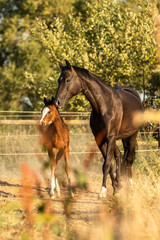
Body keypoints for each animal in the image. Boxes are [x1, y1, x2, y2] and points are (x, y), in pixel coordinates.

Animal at [54, 59, 142, 197]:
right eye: (59, 80)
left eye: (68, 80)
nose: (57, 102)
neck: (104, 104)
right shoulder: (100, 139)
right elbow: (108, 164)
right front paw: (115, 187)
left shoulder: (110, 137)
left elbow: (107, 164)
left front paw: (103, 191)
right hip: (120, 138)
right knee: (119, 156)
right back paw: (119, 185)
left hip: (132, 136)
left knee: (129, 160)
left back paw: (130, 186)